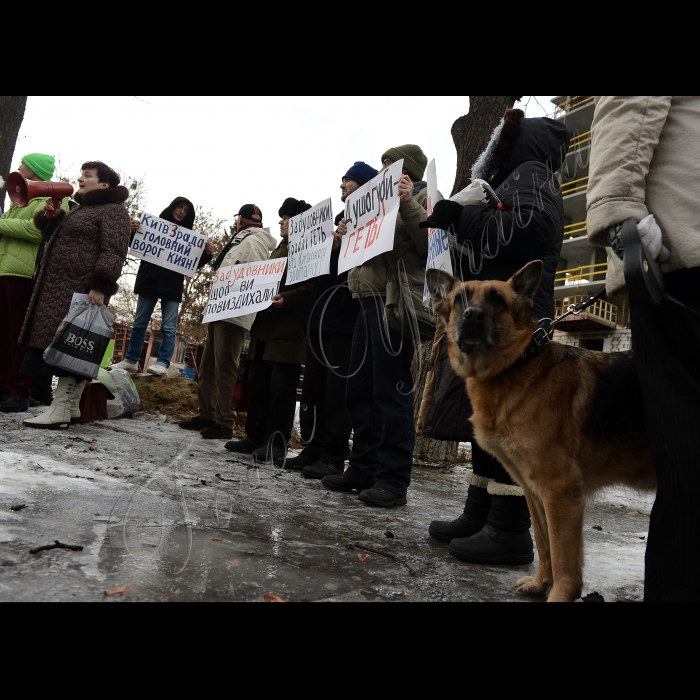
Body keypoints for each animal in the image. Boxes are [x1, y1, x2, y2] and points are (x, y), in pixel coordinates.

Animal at [426, 262, 656, 600]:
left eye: (498, 300)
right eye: (459, 299)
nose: (473, 315)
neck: (518, 364)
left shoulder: (560, 491)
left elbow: (562, 558)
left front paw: (558, 594)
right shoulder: (535, 491)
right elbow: (544, 541)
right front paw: (540, 583)